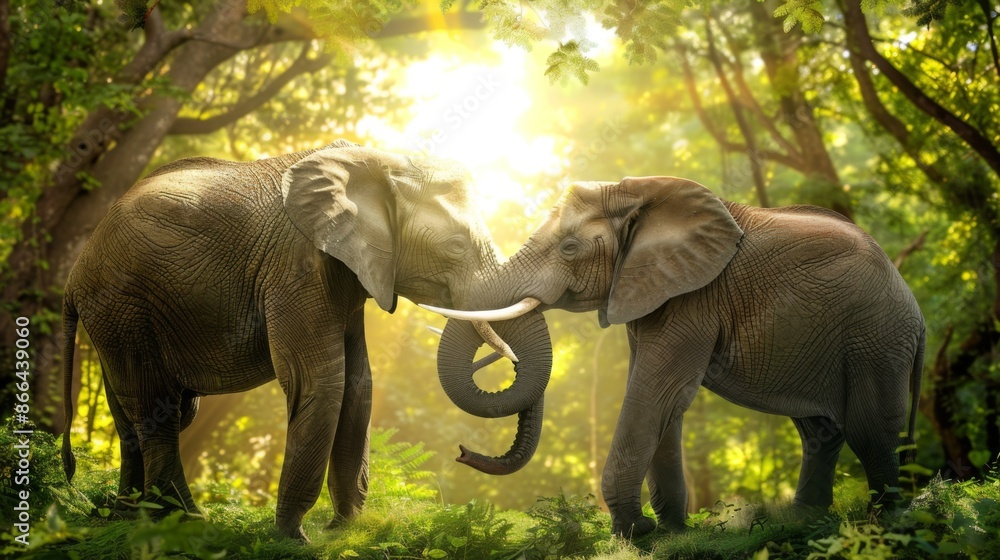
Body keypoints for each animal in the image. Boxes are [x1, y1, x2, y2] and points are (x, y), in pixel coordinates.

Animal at [59, 140, 551, 540]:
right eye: (454, 248)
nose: (463, 452)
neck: (380, 163)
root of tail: (75, 270)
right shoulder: (297, 267)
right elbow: (320, 382)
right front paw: (293, 539)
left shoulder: (349, 272)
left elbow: (359, 385)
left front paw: (345, 530)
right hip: (121, 302)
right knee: (156, 405)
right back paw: (181, 521)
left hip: (117, 315)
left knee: (137, 409)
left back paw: (127, 516)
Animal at [424, 176, 925, 538]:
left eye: (569, 247)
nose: (462, 452)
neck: (634, 192)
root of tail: (915, 310)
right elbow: (661, 396)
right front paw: (671, 531)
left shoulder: (694, 295)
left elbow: (657, 391)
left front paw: (637, 533)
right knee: (819, 430)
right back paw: (803, 521)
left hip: (877, 335)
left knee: (869, 427)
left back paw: (887, 522)